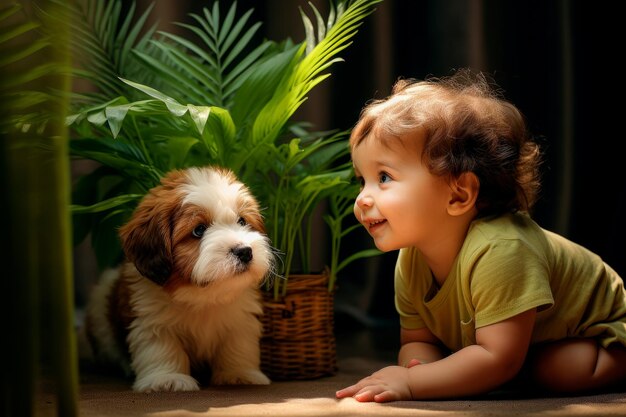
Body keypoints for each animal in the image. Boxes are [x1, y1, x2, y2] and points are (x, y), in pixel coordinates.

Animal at [84, 165, 272, 390]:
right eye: (198, 230)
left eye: (242, 221)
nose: (244, 251)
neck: (202, 296)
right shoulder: (151, 320)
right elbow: (162, 347)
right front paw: (167, 379)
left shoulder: (240, 320)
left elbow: (238, 345)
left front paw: (239, 373)